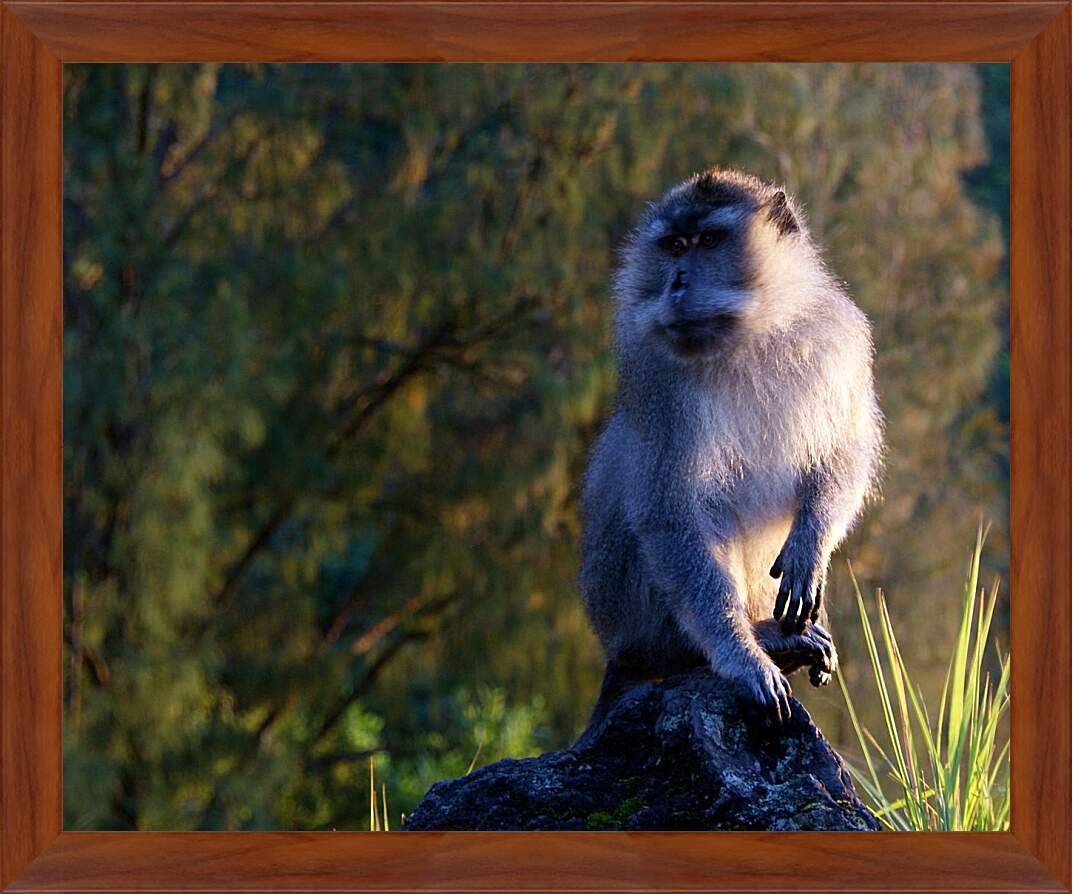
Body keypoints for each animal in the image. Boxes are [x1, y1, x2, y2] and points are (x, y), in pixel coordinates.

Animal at [579, 169, 879, 734]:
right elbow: (670, 512)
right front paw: (739, 657)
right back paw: (756, 643)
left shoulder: (839, 338)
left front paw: (812, 541)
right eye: (675, 246)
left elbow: (846, 449)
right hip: (640, 624)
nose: (677, 283)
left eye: (710, 240)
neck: (750, 335)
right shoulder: (659, 379)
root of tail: (618, 650)